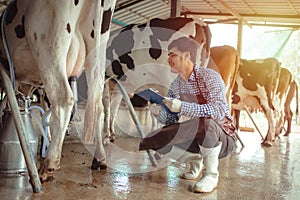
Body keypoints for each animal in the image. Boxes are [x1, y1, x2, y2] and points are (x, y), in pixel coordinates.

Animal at [0, 0, 116, 181]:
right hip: (96, 55)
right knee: (98, 106)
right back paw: (99, 159)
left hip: (49, 45)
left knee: (64, 99)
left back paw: (48, 165)